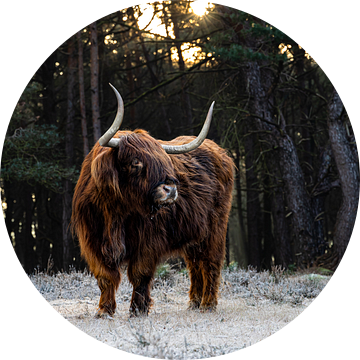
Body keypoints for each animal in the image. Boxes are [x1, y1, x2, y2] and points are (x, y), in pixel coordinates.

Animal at [71, 85, 233, 318]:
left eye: (165, 161)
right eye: (135, 162)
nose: (171, 189)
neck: (115, 209)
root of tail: (220, 152)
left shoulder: (148, 241)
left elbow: (140, 274)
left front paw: (138, 310)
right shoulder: (92, 239)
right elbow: (105, 276)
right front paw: (104, 310)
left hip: (215, 228)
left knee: (211, 262)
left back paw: (207, 305)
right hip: (193, 231)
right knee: (195, 265)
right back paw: (193, 303)